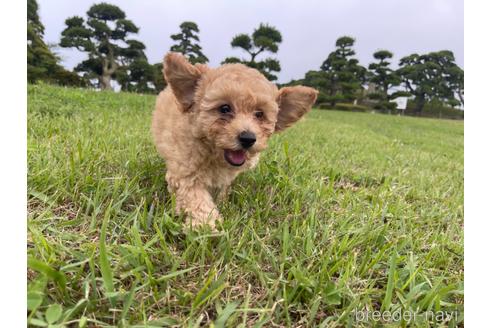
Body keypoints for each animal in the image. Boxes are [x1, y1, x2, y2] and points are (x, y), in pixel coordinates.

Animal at [152, 52, 318, 229]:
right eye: (224, 108)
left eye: (259, 114)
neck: (212, 154)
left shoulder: (224, 178)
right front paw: (205, 225)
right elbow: (196, 198)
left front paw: (221, 204)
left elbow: (221, 189)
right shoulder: (185, 173)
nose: (248, 138)